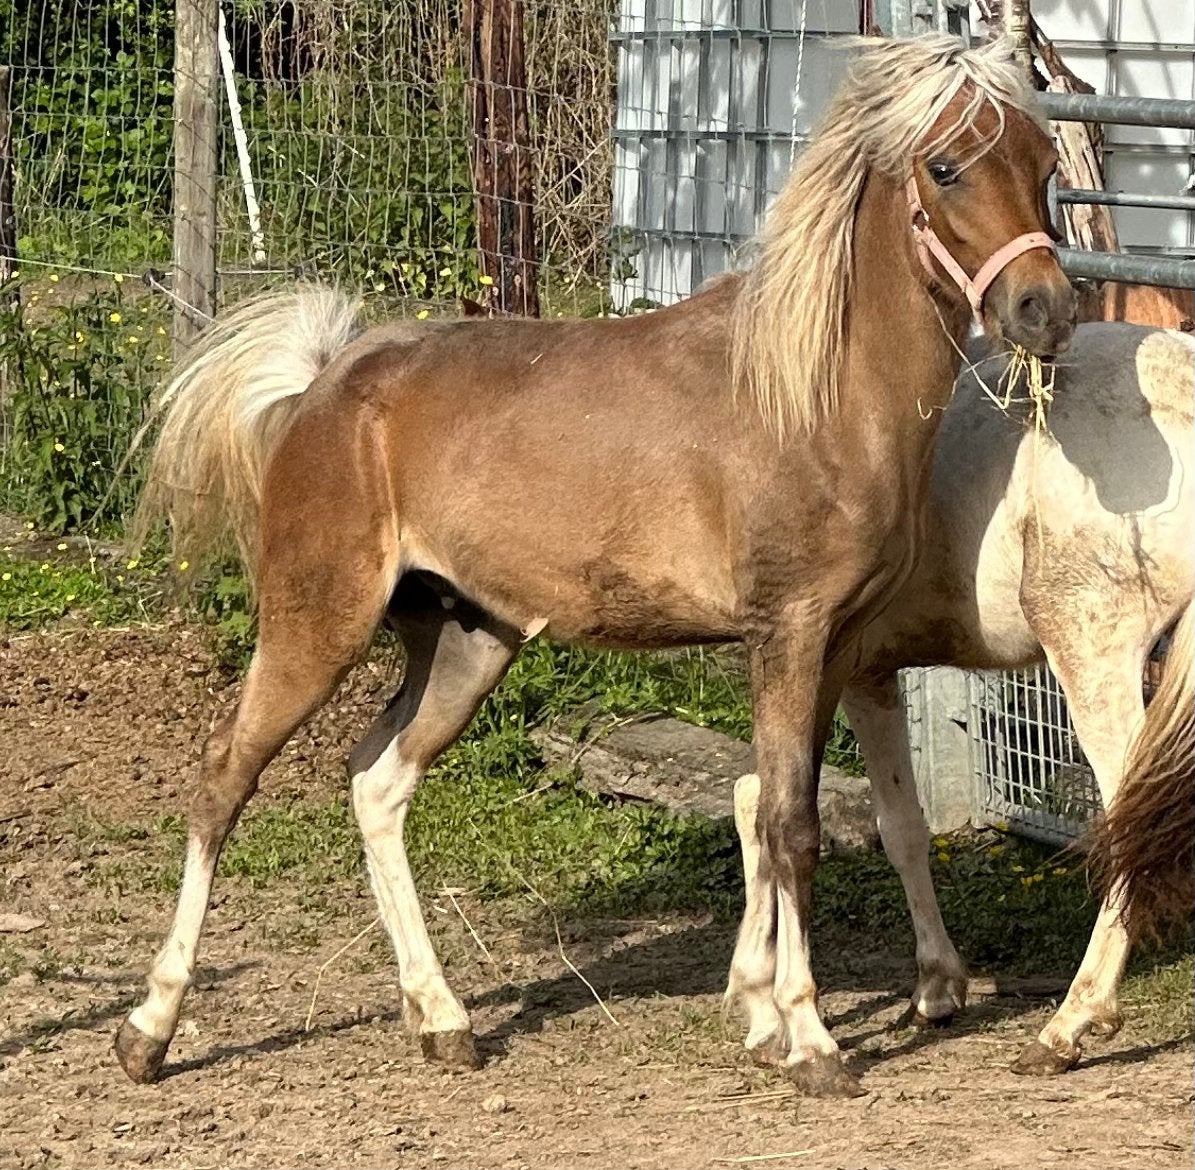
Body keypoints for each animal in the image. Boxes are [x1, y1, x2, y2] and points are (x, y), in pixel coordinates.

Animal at [114, 35, 1074, 1098]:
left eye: (1045, 164)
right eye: (944, 167)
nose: (1045, 309)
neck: (811, 391)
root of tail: (324, 386)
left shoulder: (835, 646)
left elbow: (783, 816)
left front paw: (764, 1018)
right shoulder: (787, 633)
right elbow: (791, 825)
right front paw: (808, 1038)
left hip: (467, 641)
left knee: (377, 784)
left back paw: (442, 1020)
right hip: (314, 627)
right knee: (222, 779)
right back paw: (150, 1030)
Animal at [731, 321, 1192, 1075]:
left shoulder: (822, 662)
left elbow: (764, 806)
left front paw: (763, 1007)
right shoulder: (866, 671)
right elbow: (898, 825)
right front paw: (937, 987)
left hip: (1087, 646)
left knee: (1131, 815)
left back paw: (1068, 1024)